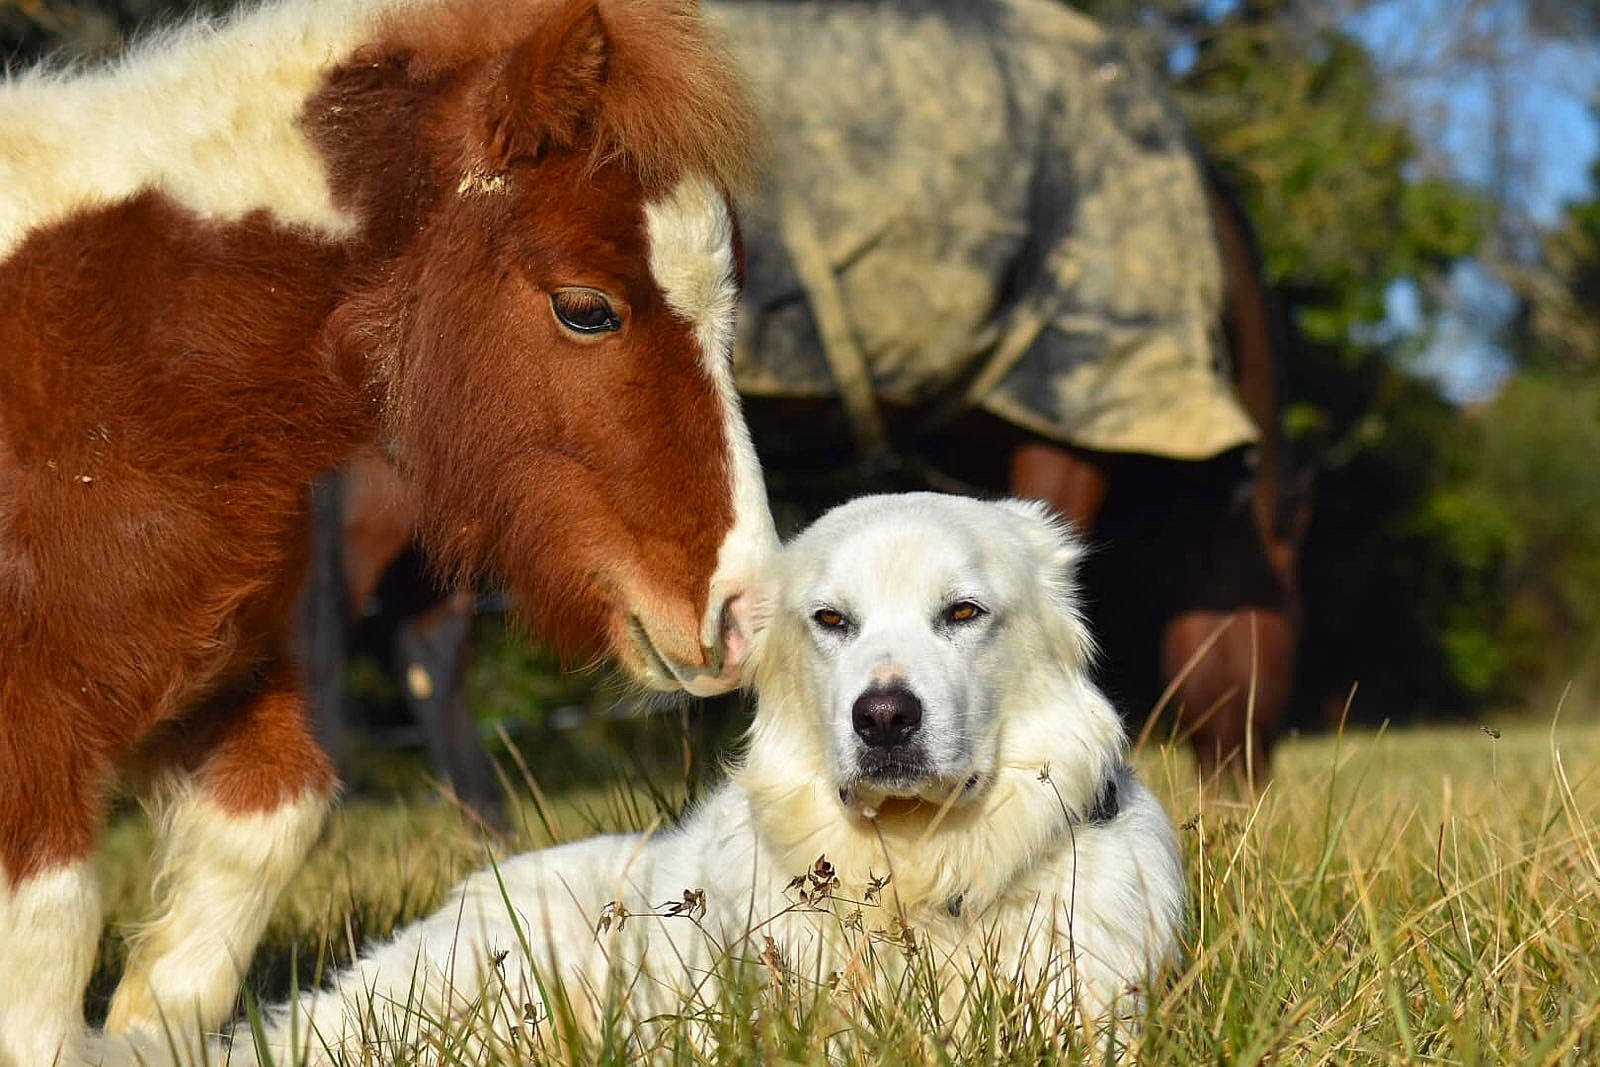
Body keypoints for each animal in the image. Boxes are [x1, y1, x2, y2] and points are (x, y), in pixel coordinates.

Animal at [0, 0, 771, 1062]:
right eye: (586, 308)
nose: (744, 612)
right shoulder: (32, 740)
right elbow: (43, 961)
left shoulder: (245, 670)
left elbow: (244, 867)